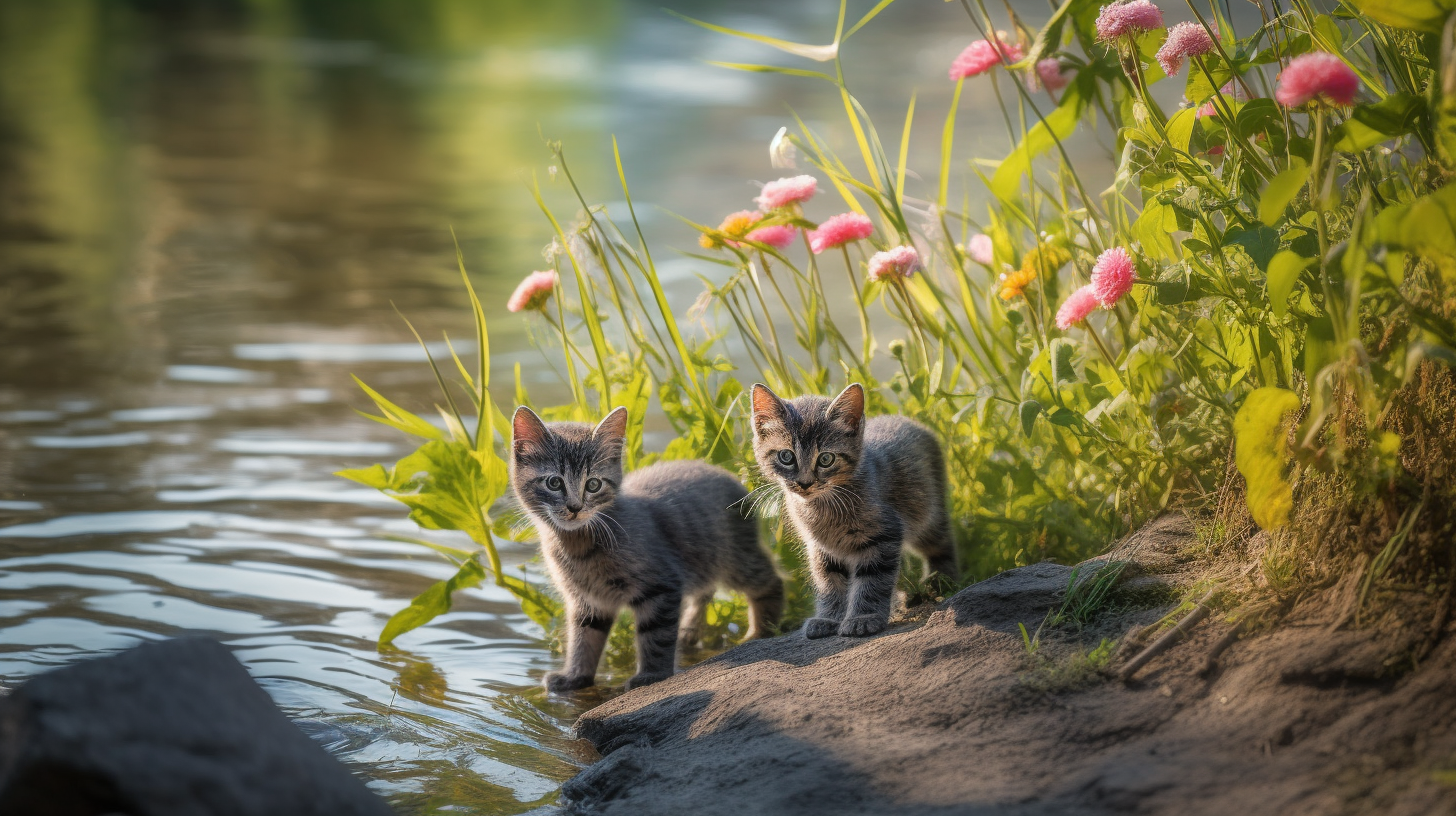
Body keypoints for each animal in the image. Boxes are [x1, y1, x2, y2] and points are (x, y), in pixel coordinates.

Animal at [512, 405, 786, 690]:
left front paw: (652, 676)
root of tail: (728, 474)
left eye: (593, 484)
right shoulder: (588, 601)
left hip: (737, 559)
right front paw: (575, 677)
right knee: (705, 590)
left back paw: (761, 630)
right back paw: (689, 632)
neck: (579, 545)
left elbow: (656, 635)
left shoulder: (662, 585)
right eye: (554, 483)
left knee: (770, 580)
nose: (575, 507)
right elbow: (584, 638)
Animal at [751, 384, 955, 641]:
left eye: (826, 459)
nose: (805, 483)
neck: (824, 506)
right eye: (786, 456)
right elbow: (829, 583)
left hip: (927, 515)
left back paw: (942, 582)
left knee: (942, 544)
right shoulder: (822, 548)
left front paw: (864, 618)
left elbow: (873, 580)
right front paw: (829, 618)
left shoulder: (883, 535)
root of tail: (907, 419)